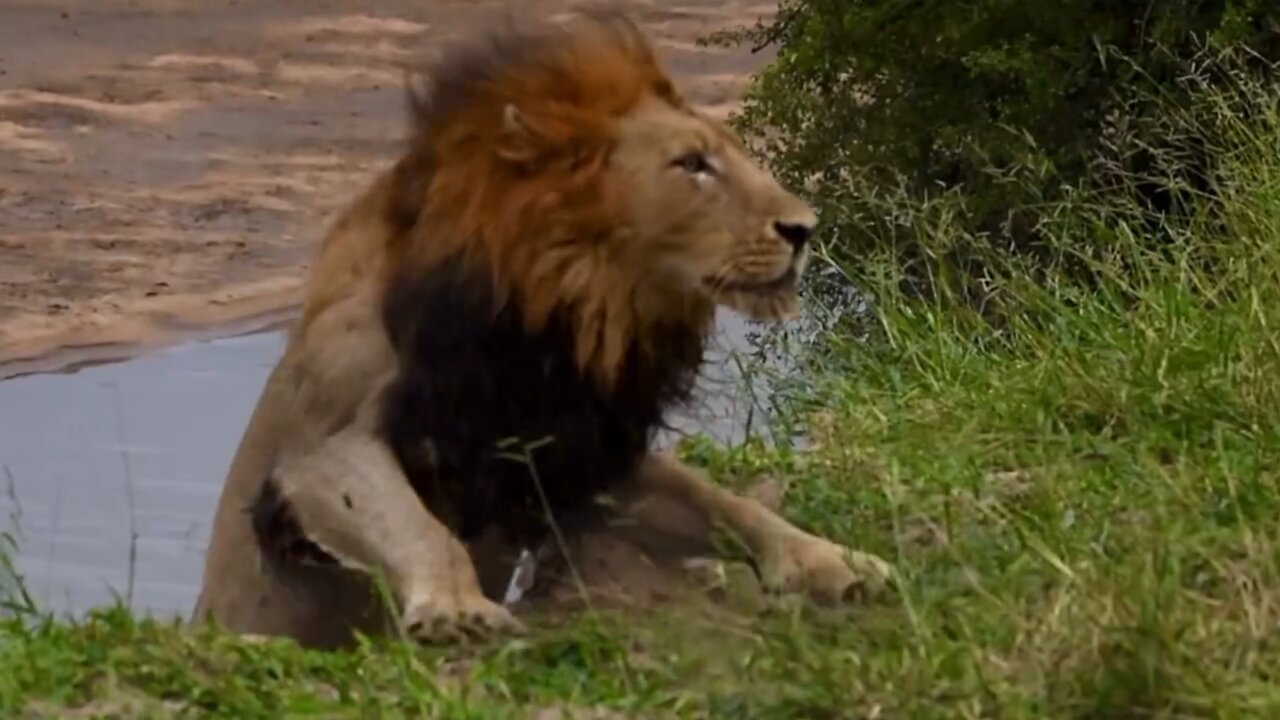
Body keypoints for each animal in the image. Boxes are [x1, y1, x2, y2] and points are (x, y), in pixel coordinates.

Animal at [189, 5, 890, 645]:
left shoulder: (574, 452)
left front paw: (832, 559)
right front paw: (456, 610)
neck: (563, 306)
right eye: (692, 163)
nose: (804, 229)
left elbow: (720, 500)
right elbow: (419, 526)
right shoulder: (317, 450)